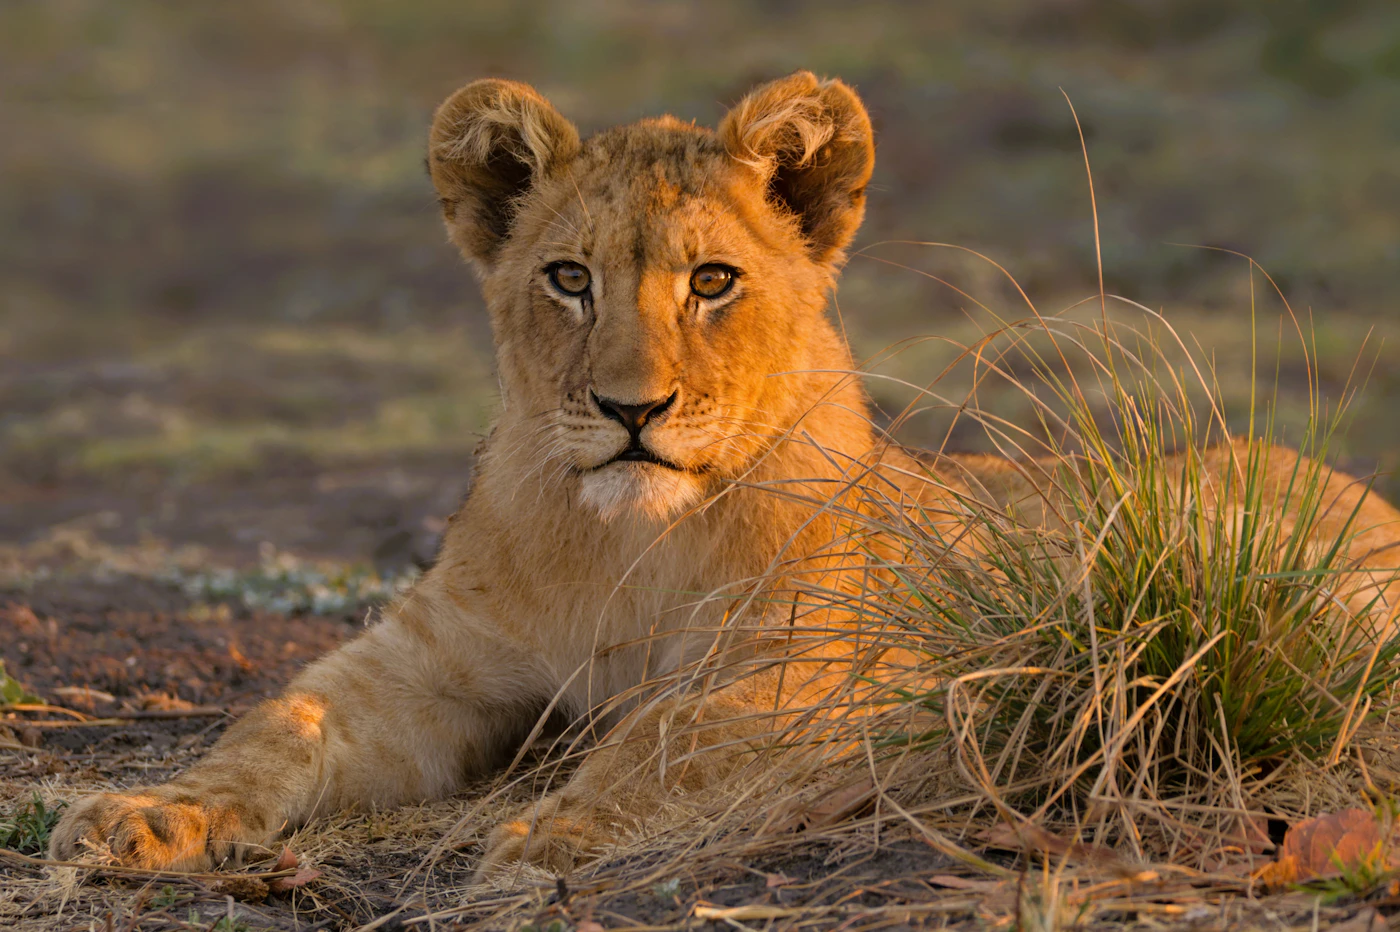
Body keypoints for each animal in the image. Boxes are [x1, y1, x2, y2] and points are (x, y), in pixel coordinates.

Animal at [47, 72, 1400, 877]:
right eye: (568, 277)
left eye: (711, 281)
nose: (629, 408)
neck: (623, 544)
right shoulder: (421, 662)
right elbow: (275, 722)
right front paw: (142, 812)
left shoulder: (852, 664)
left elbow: (674, 729)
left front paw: (553, 827)